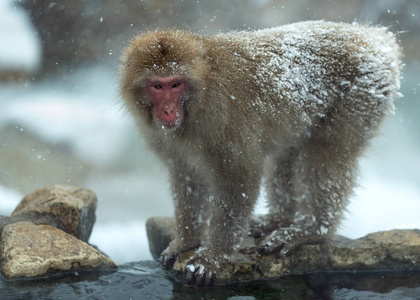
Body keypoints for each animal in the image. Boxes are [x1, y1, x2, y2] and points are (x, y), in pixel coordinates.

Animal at [120, 21, 402, 286]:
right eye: (157, 86)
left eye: (175, 84)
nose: (168, 110)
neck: (198, 97)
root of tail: (374, 37)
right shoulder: (165, 138)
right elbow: (188, 177)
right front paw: (187, 240)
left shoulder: (223, 120)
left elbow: (238, 178)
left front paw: (213, 255)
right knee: (288, 152)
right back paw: (279, 219)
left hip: (363, 90)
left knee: (328, 155)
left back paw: (310, 230)